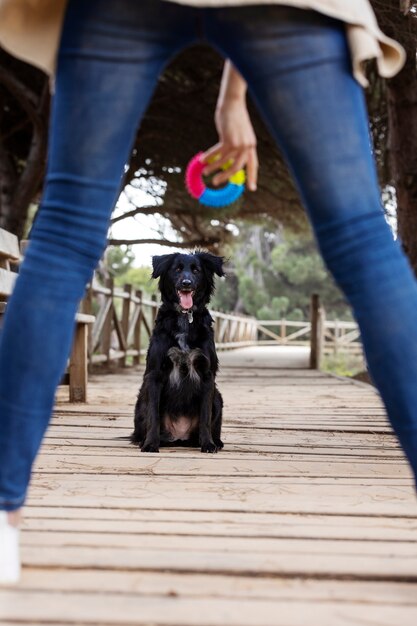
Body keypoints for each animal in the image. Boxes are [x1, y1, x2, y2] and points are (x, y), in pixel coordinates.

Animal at [132, 251, 224, 450]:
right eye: (177, 269)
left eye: (196, 270)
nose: (186, 283)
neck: (184, 317)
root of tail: (180, 437)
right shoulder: (155, 375)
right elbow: (153, 415)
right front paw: (150, 444)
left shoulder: (207, 375)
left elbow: (205, 416)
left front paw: (207, 444)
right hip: (140, 400)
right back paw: (143, 440)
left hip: (218, 398)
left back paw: (217, 441)